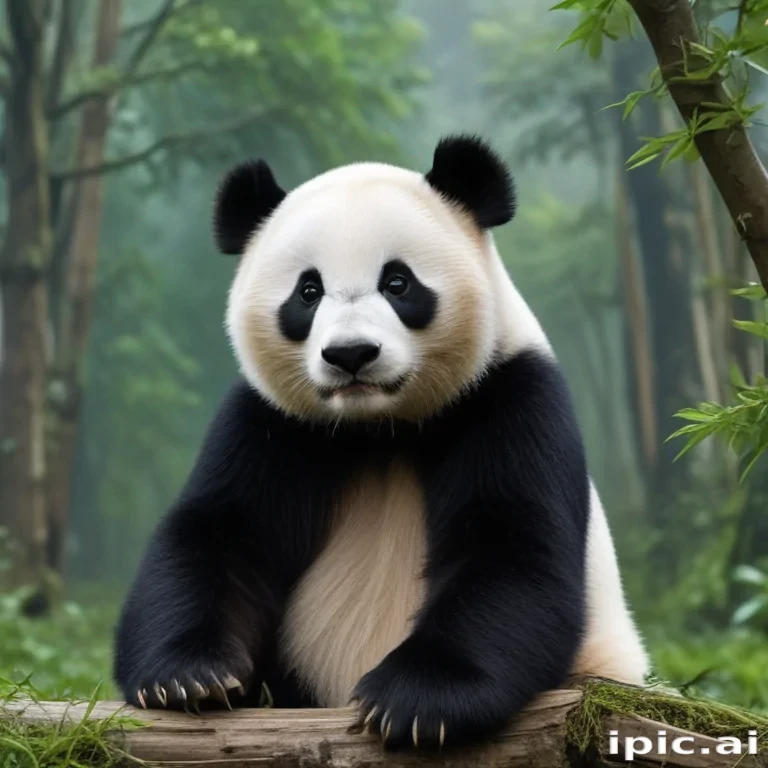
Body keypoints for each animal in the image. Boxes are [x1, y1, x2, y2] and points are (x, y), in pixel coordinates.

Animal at [113, 134, 648, 752]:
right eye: (308, 291)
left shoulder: (513, 400)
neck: (377, 428)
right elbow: (218, 535)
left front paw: (416, 701)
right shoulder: (268, 425)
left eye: (397, 283)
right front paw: (188, 677)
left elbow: (512, 552)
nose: (350, 354)